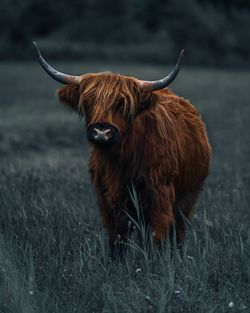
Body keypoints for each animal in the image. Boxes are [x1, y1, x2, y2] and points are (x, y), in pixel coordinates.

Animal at [34, 41, 210, 255]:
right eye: (88, 103)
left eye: (122, 104)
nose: (101, 131)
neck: (121, 162)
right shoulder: (106, 200)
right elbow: (117, 239)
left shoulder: (160, 196)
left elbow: (157, 237)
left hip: (188, 197)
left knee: (178, 231)